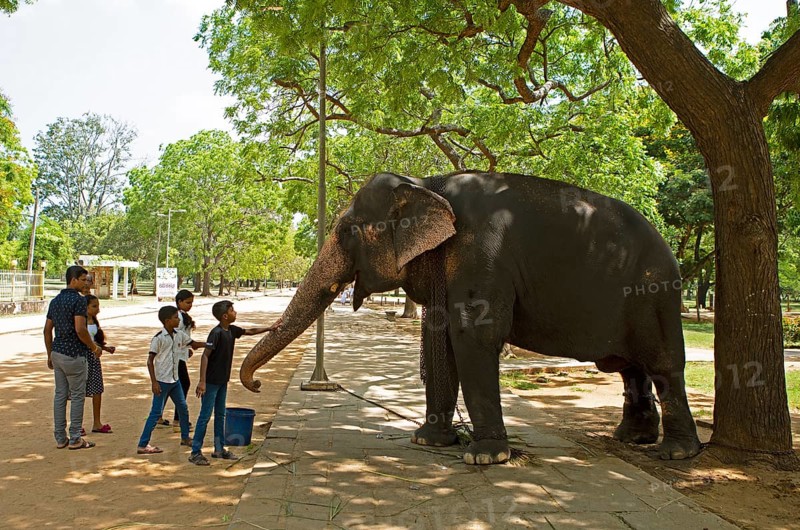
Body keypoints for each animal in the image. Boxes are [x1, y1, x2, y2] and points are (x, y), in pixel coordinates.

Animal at [240, 171, 702, 465]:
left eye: (347, 231)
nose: (257, 385)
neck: (428, 183)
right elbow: (440, 341)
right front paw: (429, 441)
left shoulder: (482, 254)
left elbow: (472, 338)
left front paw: (484, 456)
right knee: (629, 368)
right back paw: (632, 438)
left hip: (655, 293)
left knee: (663, 365)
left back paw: (677, 453)